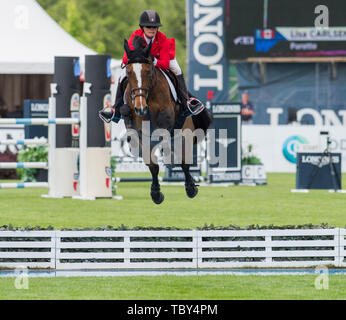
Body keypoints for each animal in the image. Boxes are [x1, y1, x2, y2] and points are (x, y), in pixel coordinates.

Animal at [120, 35, 211, 205]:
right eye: (128, 73)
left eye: (148, 71)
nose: (140, 108)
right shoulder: (141, 134)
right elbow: (152, 165)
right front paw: (156, 193)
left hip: (184, 133)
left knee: (183, 161)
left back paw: (191, 188)